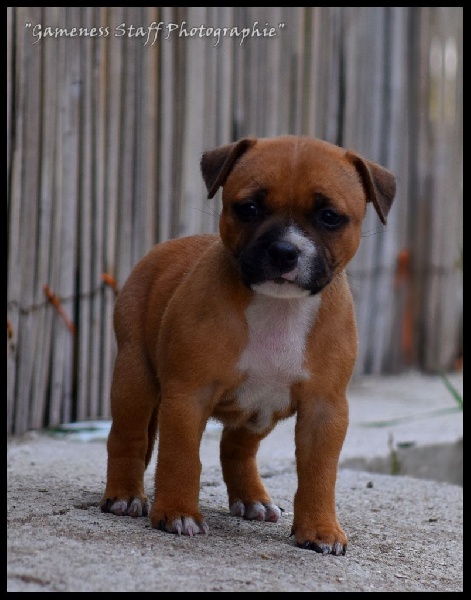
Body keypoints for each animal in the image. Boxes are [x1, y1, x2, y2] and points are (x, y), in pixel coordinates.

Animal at [100, 135, 396, 555]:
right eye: (250, 208)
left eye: (329, 217)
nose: (284, 250)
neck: (278, 307)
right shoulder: (187, 397)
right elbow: (181, 457)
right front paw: (177, 513)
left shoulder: (325, 409)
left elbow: (320, 472)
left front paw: (320, 528)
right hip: (134, 377)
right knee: (128, 435)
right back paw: (125, 495)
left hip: (259, 409)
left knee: (236, 448)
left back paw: (252, 498)